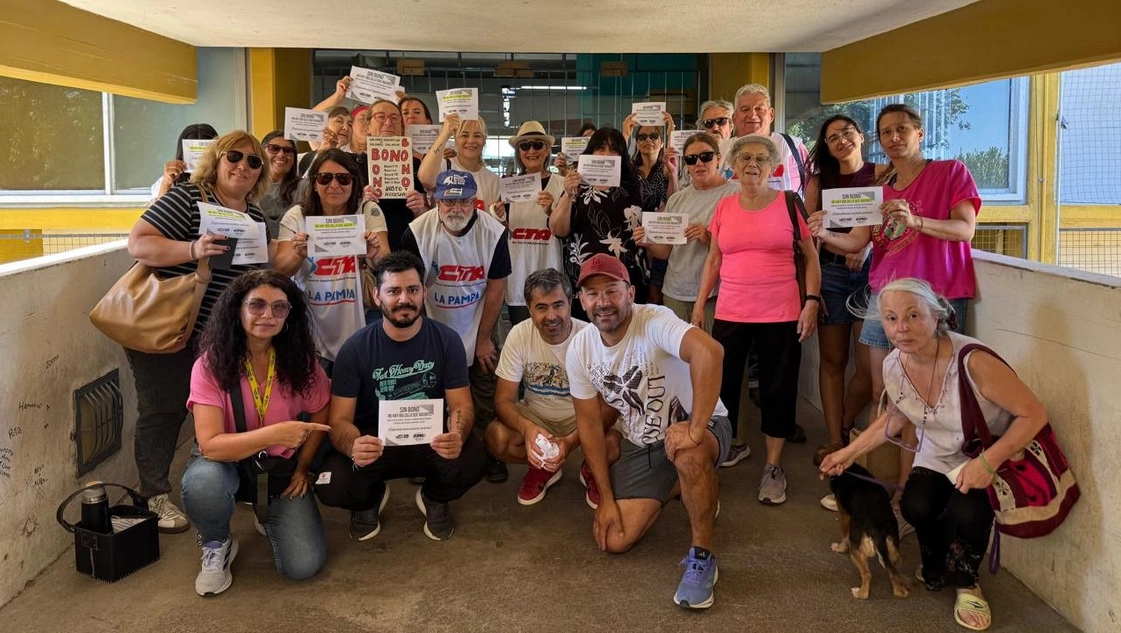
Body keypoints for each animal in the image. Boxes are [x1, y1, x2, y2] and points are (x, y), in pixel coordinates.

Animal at [828, 463, 909, 600]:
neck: (850, 468)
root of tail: (879, 527)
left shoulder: (844, 514)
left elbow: (844, 534)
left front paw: (839, 548)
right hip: (893, 551)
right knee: (893, 575)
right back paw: (899, 590)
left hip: (856, 548)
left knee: (867, 574)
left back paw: (860, 593)